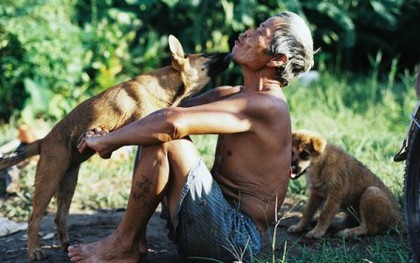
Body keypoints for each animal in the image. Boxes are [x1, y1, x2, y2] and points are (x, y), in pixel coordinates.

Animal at [0, 35, 230, 262]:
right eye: (206, 55)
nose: (229, 51)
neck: (165, 86)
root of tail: (43, 141)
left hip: (68, 182)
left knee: (59, 217)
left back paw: (66, 245)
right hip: (49, 179)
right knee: (34, 218)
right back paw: (34, 251)